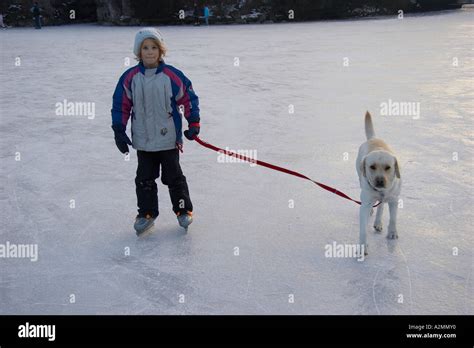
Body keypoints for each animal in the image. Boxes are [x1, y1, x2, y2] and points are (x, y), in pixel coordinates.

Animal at [356, 112, 400, 256]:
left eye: (388, 167)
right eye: (372, 167)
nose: (380, 181)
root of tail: (373, 138)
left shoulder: (394, 200)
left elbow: (393, 218)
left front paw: (392, 232)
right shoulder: (365, 205)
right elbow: (363, 230)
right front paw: (362, 247)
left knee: (381, 206)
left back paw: (378, 222)